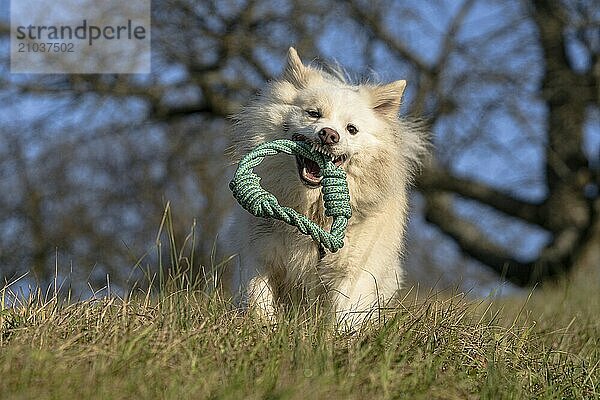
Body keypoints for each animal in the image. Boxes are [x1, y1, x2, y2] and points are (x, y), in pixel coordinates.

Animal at [225, 47, 426, 328]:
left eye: (351, 129)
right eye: (314, 114)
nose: (329, 134)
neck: (312, 209)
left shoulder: (351, 270)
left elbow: (342, 316)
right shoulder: (260, 256)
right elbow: (258, 301)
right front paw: (262, 329)